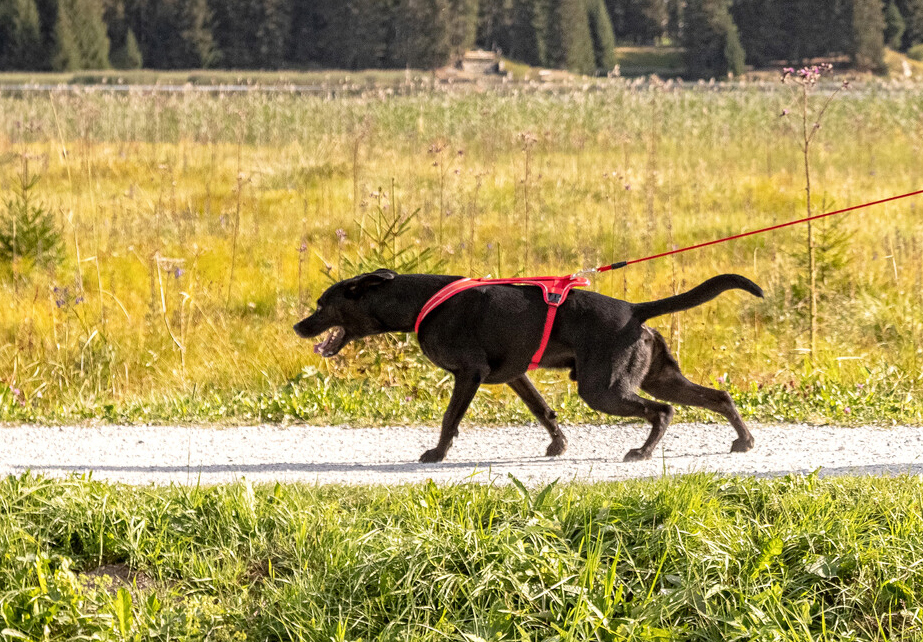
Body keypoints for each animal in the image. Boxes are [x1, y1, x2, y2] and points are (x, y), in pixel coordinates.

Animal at [296, 268, 764, 460]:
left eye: (322, 304)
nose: (298, 326)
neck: (420, 300)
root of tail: (634, 310)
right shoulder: (517, 376)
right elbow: (544, 411)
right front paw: (558, 446)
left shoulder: (469, 373)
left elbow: (450, 419)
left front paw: (437, 454)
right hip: (658, 377)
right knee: (719, 396)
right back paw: (743, 441)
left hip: (604, 390)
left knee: (663, 412)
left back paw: (643, 452)